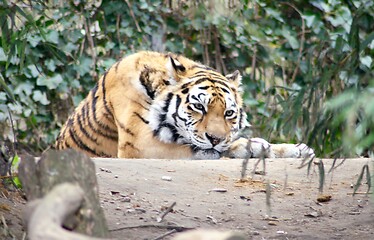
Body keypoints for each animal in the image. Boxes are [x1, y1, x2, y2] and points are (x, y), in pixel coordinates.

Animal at [54, 51, 314, 159]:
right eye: (199, 107)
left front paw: (296, 149)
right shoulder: (139, 145)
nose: (215, 138)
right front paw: (253, 146)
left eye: (229, 113)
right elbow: (203, 148)